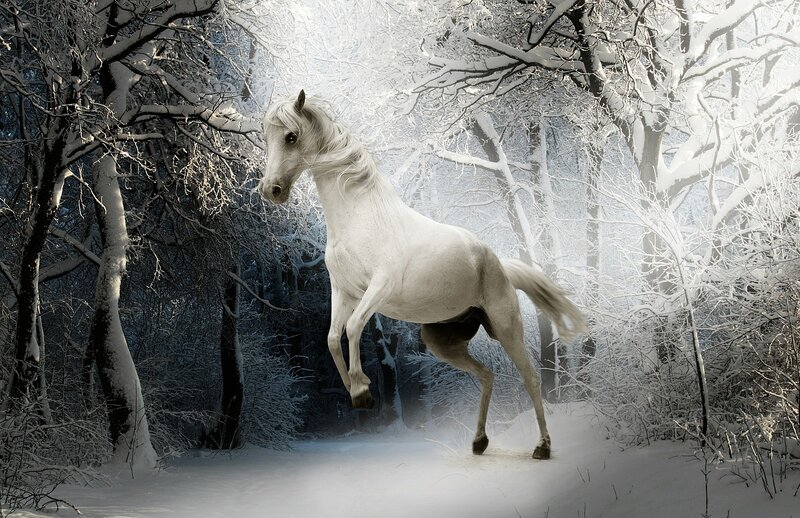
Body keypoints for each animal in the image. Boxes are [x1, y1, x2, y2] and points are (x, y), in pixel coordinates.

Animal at [258, 90, 585, 459]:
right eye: (266, 137)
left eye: (291, 137)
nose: (271, 190)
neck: (361, 217)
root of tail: (498, 263)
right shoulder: (343, 291)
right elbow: (331, 338)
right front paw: (357, 392)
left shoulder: (379, 288)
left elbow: (353, 327)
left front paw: (363, 389)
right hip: (442, 341)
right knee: (487, 375)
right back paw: (479, 442)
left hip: (506, 328)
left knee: (530, 378)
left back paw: (542, 447)